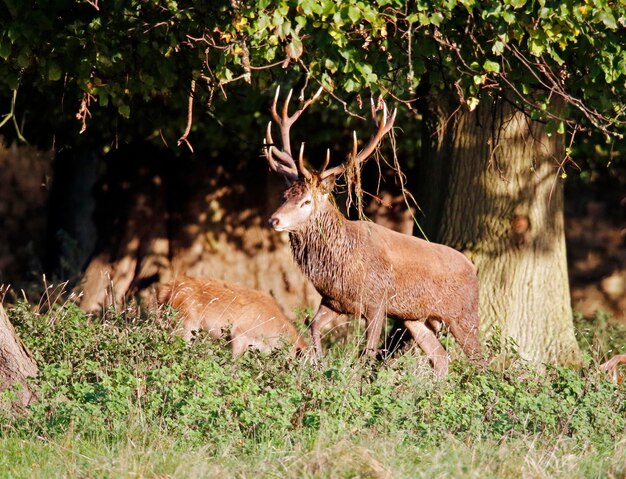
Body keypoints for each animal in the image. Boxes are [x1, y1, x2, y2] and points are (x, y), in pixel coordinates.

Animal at [260, 88, 480, 376]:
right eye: (285, 195)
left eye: (306, 201)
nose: (273, 219)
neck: (342, 263)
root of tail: (474, 269)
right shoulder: (333, 300)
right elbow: (314, 328)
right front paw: (320, 364)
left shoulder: (377, 302)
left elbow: (367, 353)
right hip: (416, 319)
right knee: (441, 357)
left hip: (464, 315)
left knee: (485, 360)